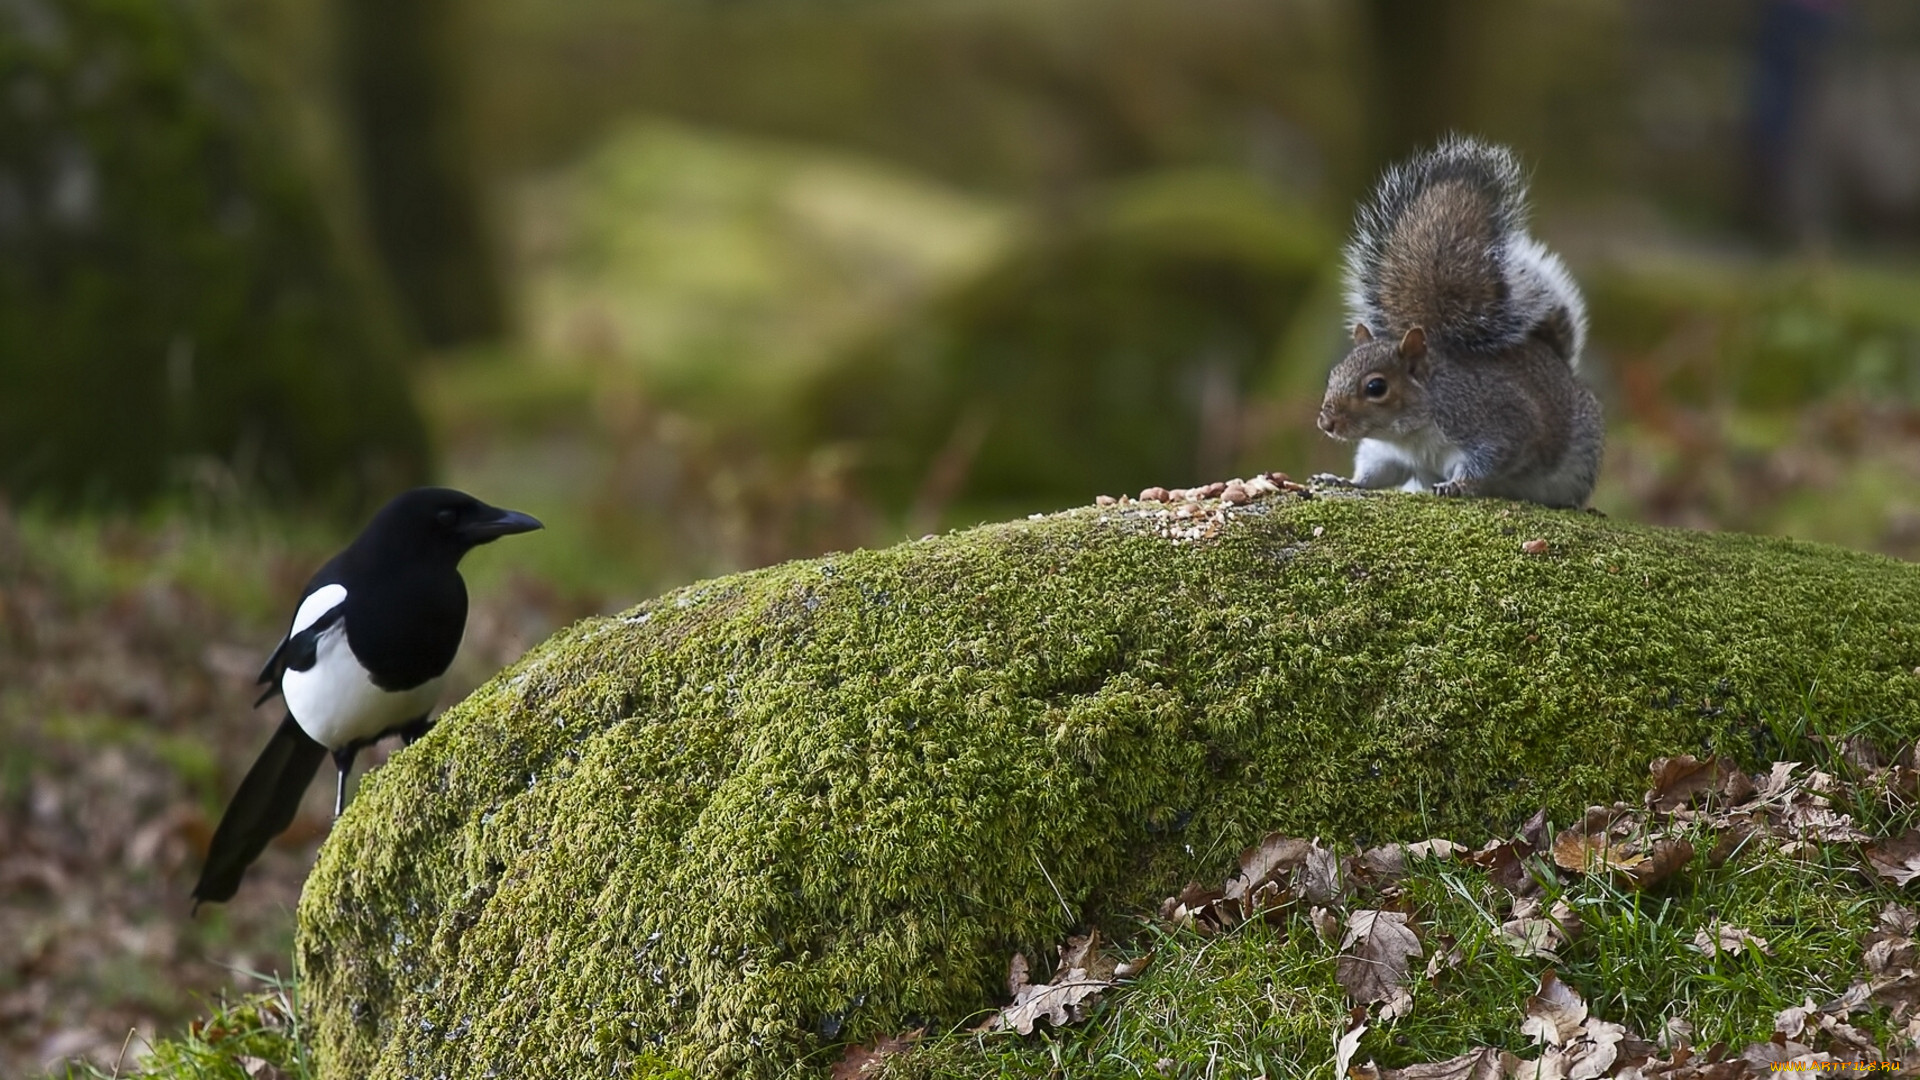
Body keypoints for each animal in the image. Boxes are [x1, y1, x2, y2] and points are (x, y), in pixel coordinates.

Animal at [1305, 136, 1605, 507]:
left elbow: (1485, 464)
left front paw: (1456, 485)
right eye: (1333, 374)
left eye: (1376, 387)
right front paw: (1341, 480)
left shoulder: (1498, 428)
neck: (1409, 434)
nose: (1326, 423)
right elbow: (1374, 475)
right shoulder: (1385, 454)